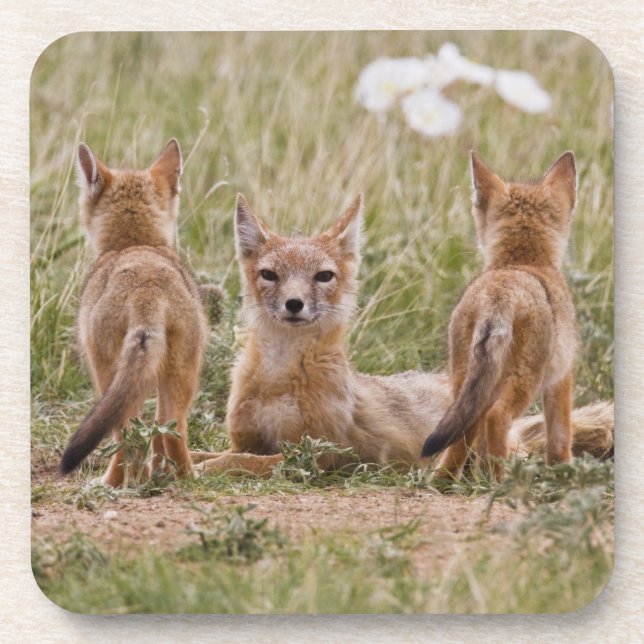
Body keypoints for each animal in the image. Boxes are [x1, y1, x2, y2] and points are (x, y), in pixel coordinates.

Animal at [59, 139, 208, 486]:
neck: (135, 244)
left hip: (108, 375)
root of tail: (146, 287)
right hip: (181, 373)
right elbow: (156, 435)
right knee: (171, 429)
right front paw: (156, 474)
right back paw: (185, 478)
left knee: (125, 435)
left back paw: (111, 483)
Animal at [191, 192, 612, 477]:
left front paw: (196, 470)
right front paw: (179, 464)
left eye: (323, 276)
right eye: (270, 275)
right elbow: (208, 452)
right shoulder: (246, 438)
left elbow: (237, 461)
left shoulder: (317, 454)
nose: (294, 304)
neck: (278, 380)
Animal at [422, 151, 581, 481]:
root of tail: (500, 293)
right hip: (525, 382)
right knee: (497, 418)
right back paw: (499, 480)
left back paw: (446, 480)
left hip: (464, 382)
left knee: (465, 432)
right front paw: (563, 470)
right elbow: (560, 434)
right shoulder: (562, 377)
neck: (521, 262)